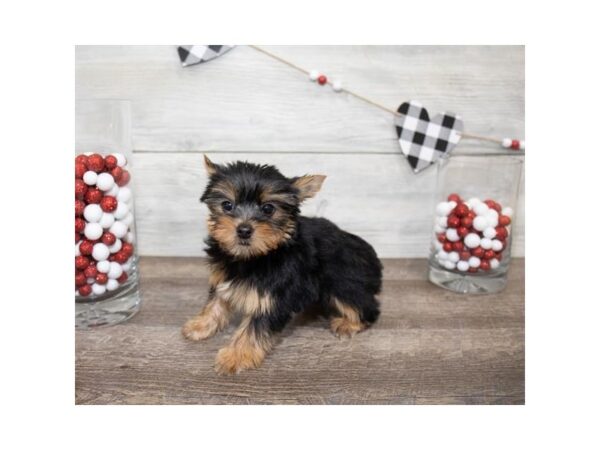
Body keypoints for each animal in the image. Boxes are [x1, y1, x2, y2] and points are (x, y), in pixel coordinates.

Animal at [180, 156, 382, 374]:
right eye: (227, 205)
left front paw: (234, 356)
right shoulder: (222, 278)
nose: (244, 230)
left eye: (268, 208)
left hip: (344, 282)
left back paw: (348, 323)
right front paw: (200, 325)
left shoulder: (273, 295)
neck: (253, 256)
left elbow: (255, 327)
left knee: (364, 305)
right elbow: (215, 302)